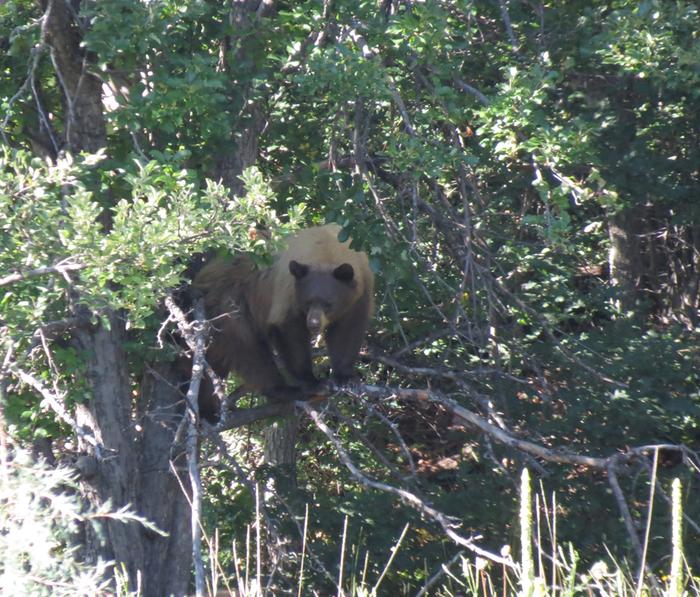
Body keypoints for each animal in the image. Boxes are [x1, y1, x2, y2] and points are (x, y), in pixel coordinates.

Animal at [191, 224, 374, 420]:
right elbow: (290, 333)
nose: (313, 324)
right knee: (249, 350)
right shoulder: (288, 293)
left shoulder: (360, 292)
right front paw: (314, 383)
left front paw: (347, 378)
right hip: (228, 306)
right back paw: (283, 390)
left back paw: (207, 410)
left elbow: (348, 331)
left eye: (328, 304)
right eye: (307, 302)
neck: (327, 251)